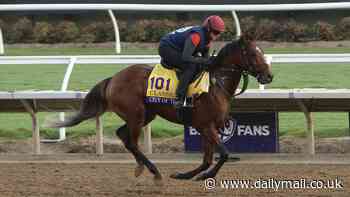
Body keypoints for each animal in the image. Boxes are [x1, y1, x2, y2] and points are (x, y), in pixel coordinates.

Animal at [49, 34, 274, 183]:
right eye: (253, 54)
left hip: (146, 114)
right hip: (136, 114)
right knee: (131, 142)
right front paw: (204, 176)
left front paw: (185, 175)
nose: (269, 76)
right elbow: (223, 155)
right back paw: (154, 171)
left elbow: (208, 159)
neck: (217, 83)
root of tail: (113, 78)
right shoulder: (205, 126)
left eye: (262, 52)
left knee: (123, 135)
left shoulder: (211, 127)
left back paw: (142, 167)